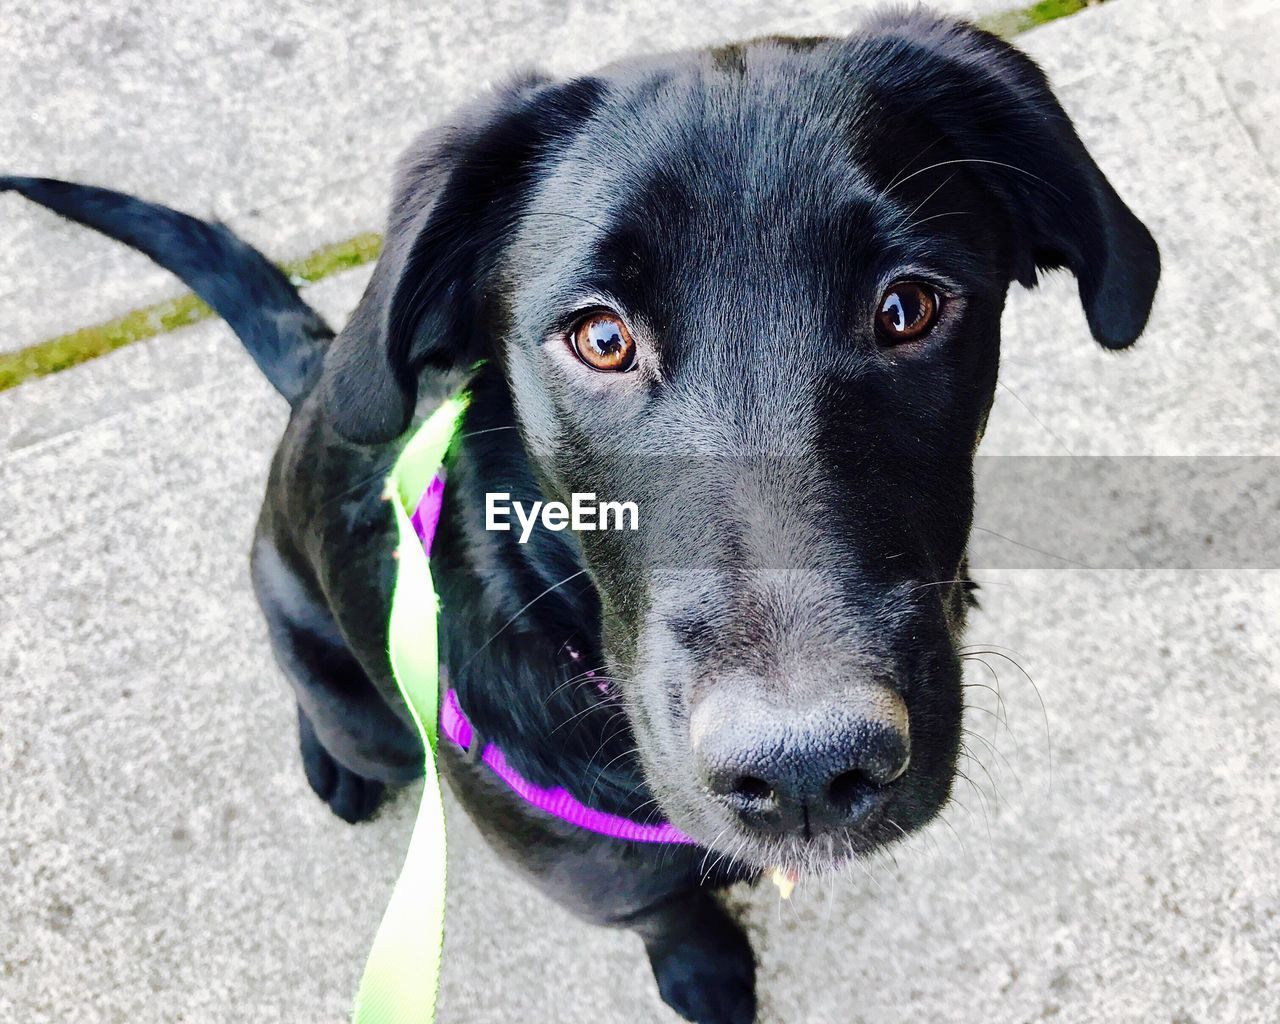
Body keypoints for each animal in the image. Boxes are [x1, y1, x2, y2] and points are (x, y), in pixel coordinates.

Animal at [2, 10, 1162, 1024]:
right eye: (600, 339)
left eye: (908, 307)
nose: (805, 768)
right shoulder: (601, 878)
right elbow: (664, 914)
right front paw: (703, 970)